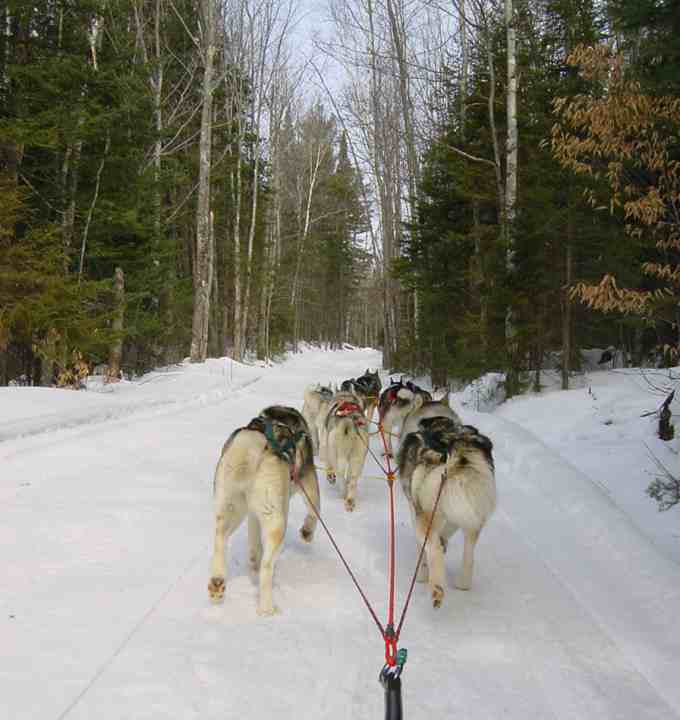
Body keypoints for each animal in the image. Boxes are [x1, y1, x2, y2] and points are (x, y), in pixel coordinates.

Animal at [209, 404, 320, 612]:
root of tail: (253, 442)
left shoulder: (253, 514)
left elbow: (253, 543)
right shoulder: (308, 480)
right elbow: (314, 511)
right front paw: (307, 533)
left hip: (230, 509)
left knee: (220, 539)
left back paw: (217, 582)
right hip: (276, 522)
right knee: (266, 567)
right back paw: (268, 609)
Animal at [398, 416, 494, 608]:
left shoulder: (416, 512)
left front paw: (421, 574)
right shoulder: (459, 514)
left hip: (427, 517)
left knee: (433, 550)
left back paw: (437, 589)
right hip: (474, 520)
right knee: (468, 555)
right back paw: (463, 583)